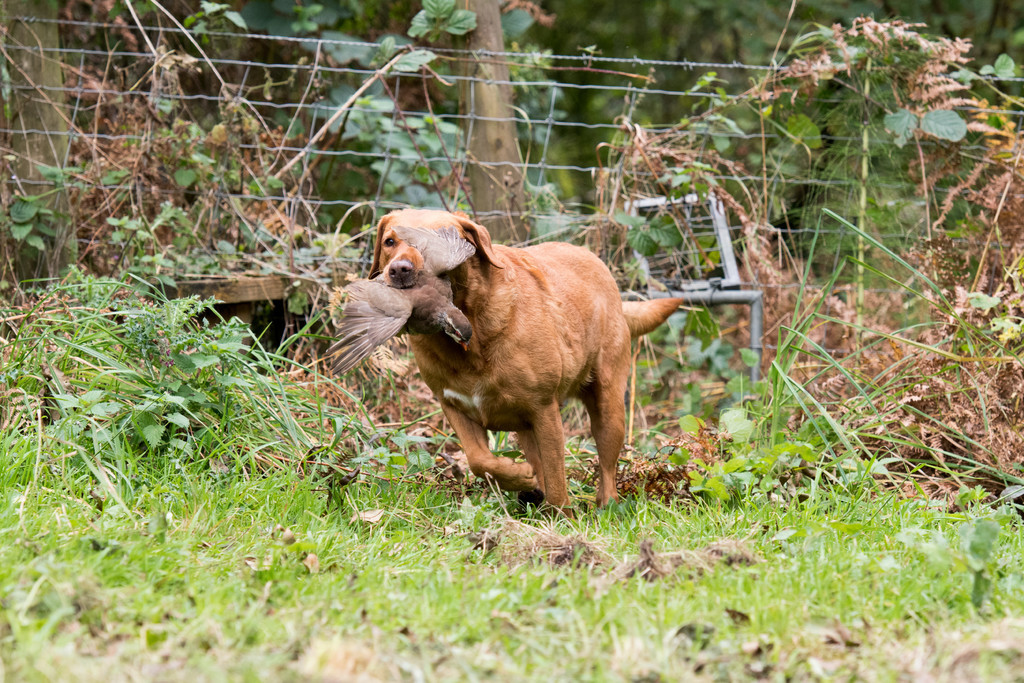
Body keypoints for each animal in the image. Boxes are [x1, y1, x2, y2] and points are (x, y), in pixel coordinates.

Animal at [368, 210, 679, 509]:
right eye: (389, 242)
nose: (399, 270)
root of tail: (595, 260)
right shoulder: (454, 406)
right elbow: (480, 460)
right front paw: (518, 477)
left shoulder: (545, 411)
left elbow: (557, 480)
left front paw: (563, 519)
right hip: (528, 425)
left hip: (609, 407)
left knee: (606, 467)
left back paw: (605, 505)